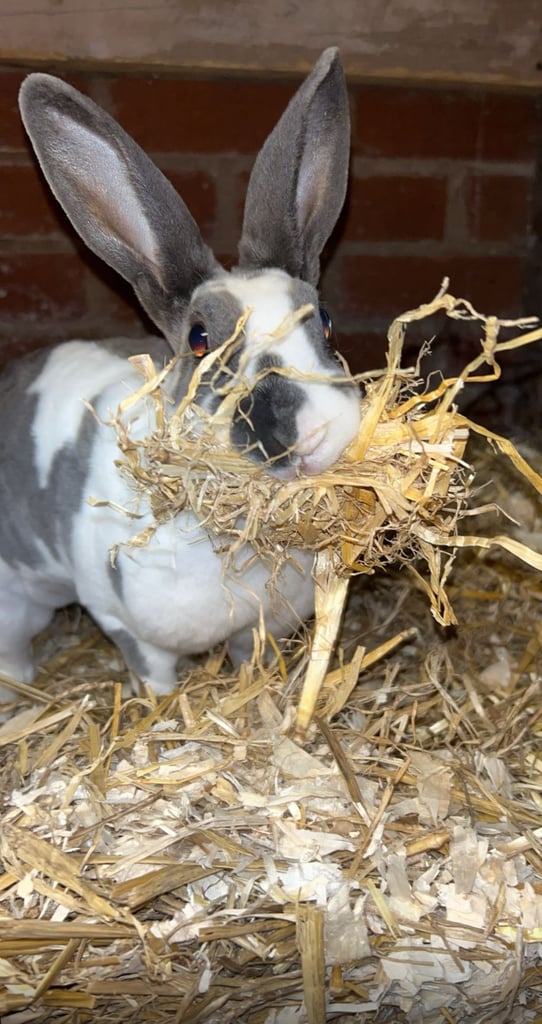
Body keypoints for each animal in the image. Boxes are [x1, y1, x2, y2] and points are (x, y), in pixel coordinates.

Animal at [0, 48, 362, 699]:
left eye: (324, 322)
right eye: (198, 340)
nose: (309, 434)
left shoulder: (260, 629)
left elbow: (251, 663)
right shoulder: (124, 621)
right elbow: (153, 675)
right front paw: (162, 705)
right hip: (14, 598)